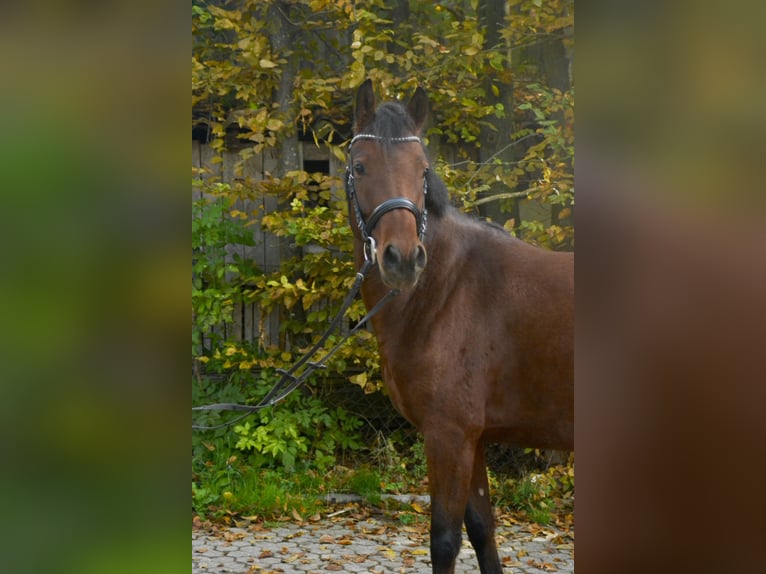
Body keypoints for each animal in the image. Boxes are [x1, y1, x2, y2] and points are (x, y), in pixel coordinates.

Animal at [344, 81, 572, 574]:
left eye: (422, 169)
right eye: (360, 165)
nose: (403, 259)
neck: (448, 288)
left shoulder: (448, 435)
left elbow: (445, 540)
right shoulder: (474, 439)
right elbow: (483, 531)